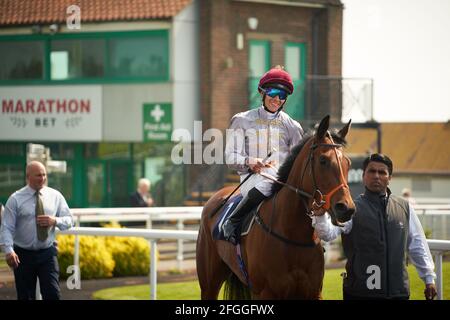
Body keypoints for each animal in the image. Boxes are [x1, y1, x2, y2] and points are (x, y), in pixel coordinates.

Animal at [196, 115, 356, 300]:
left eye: (348, 163)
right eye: (323, 160)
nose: (346, 208)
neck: (293, 235)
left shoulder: (313, 292)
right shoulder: (266, 292)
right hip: (209, 283)